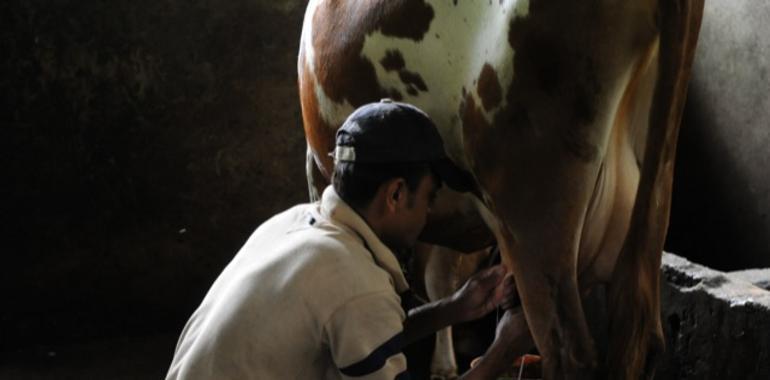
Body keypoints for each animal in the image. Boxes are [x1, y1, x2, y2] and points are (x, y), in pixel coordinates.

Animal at [296, 0, 704, 378]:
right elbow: (442, 276)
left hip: (532, 205)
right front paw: (446, 364)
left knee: (565, 349)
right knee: (635, 336)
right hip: (645, 201)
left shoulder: (317, 164)